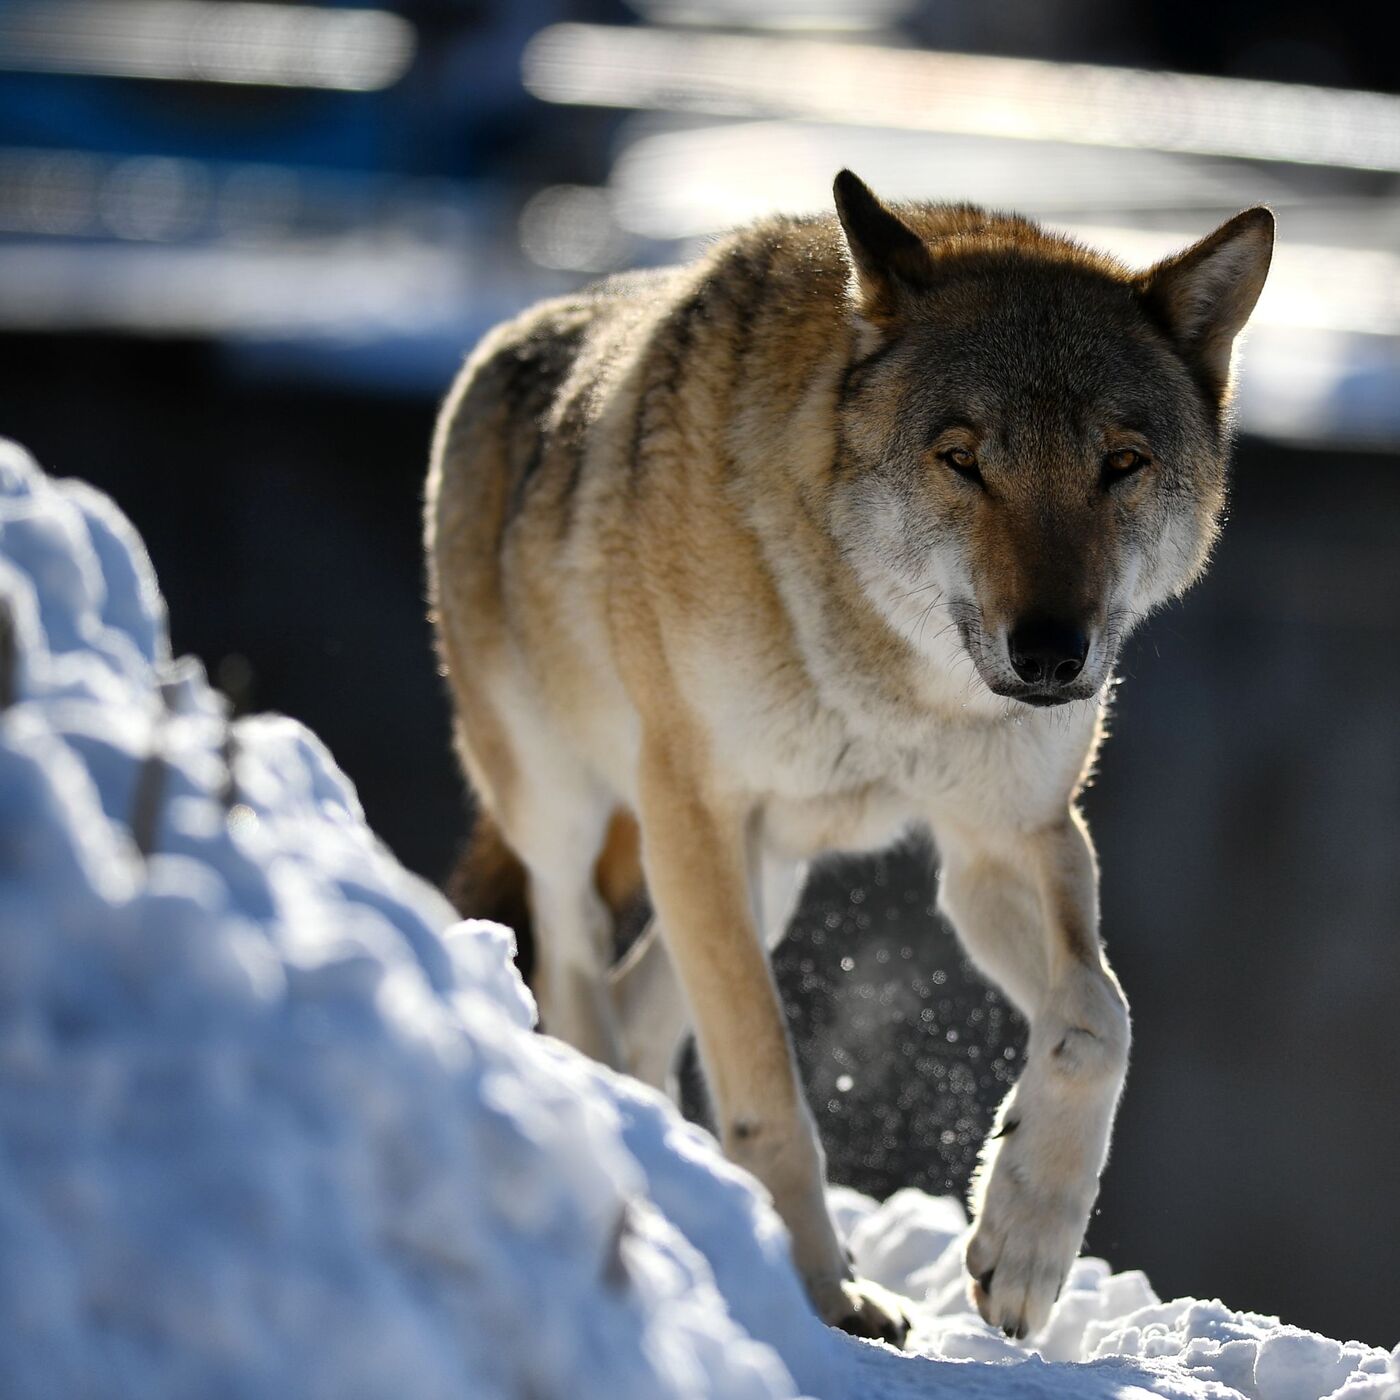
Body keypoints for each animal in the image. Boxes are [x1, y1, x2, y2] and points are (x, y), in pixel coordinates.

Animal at [425, 172, 1271, 1344]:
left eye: (1120, 465)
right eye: (961, 458)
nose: (1052, 654)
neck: (890, 676)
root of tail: (502, 340)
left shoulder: (1005, 837)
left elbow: (1099, 1021)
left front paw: (1023, 1243)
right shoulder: (691, 804)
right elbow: (767, 1084)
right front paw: (824, 1297)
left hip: (762, 876)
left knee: (642, 1011)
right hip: (572, 812)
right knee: (573, 967)